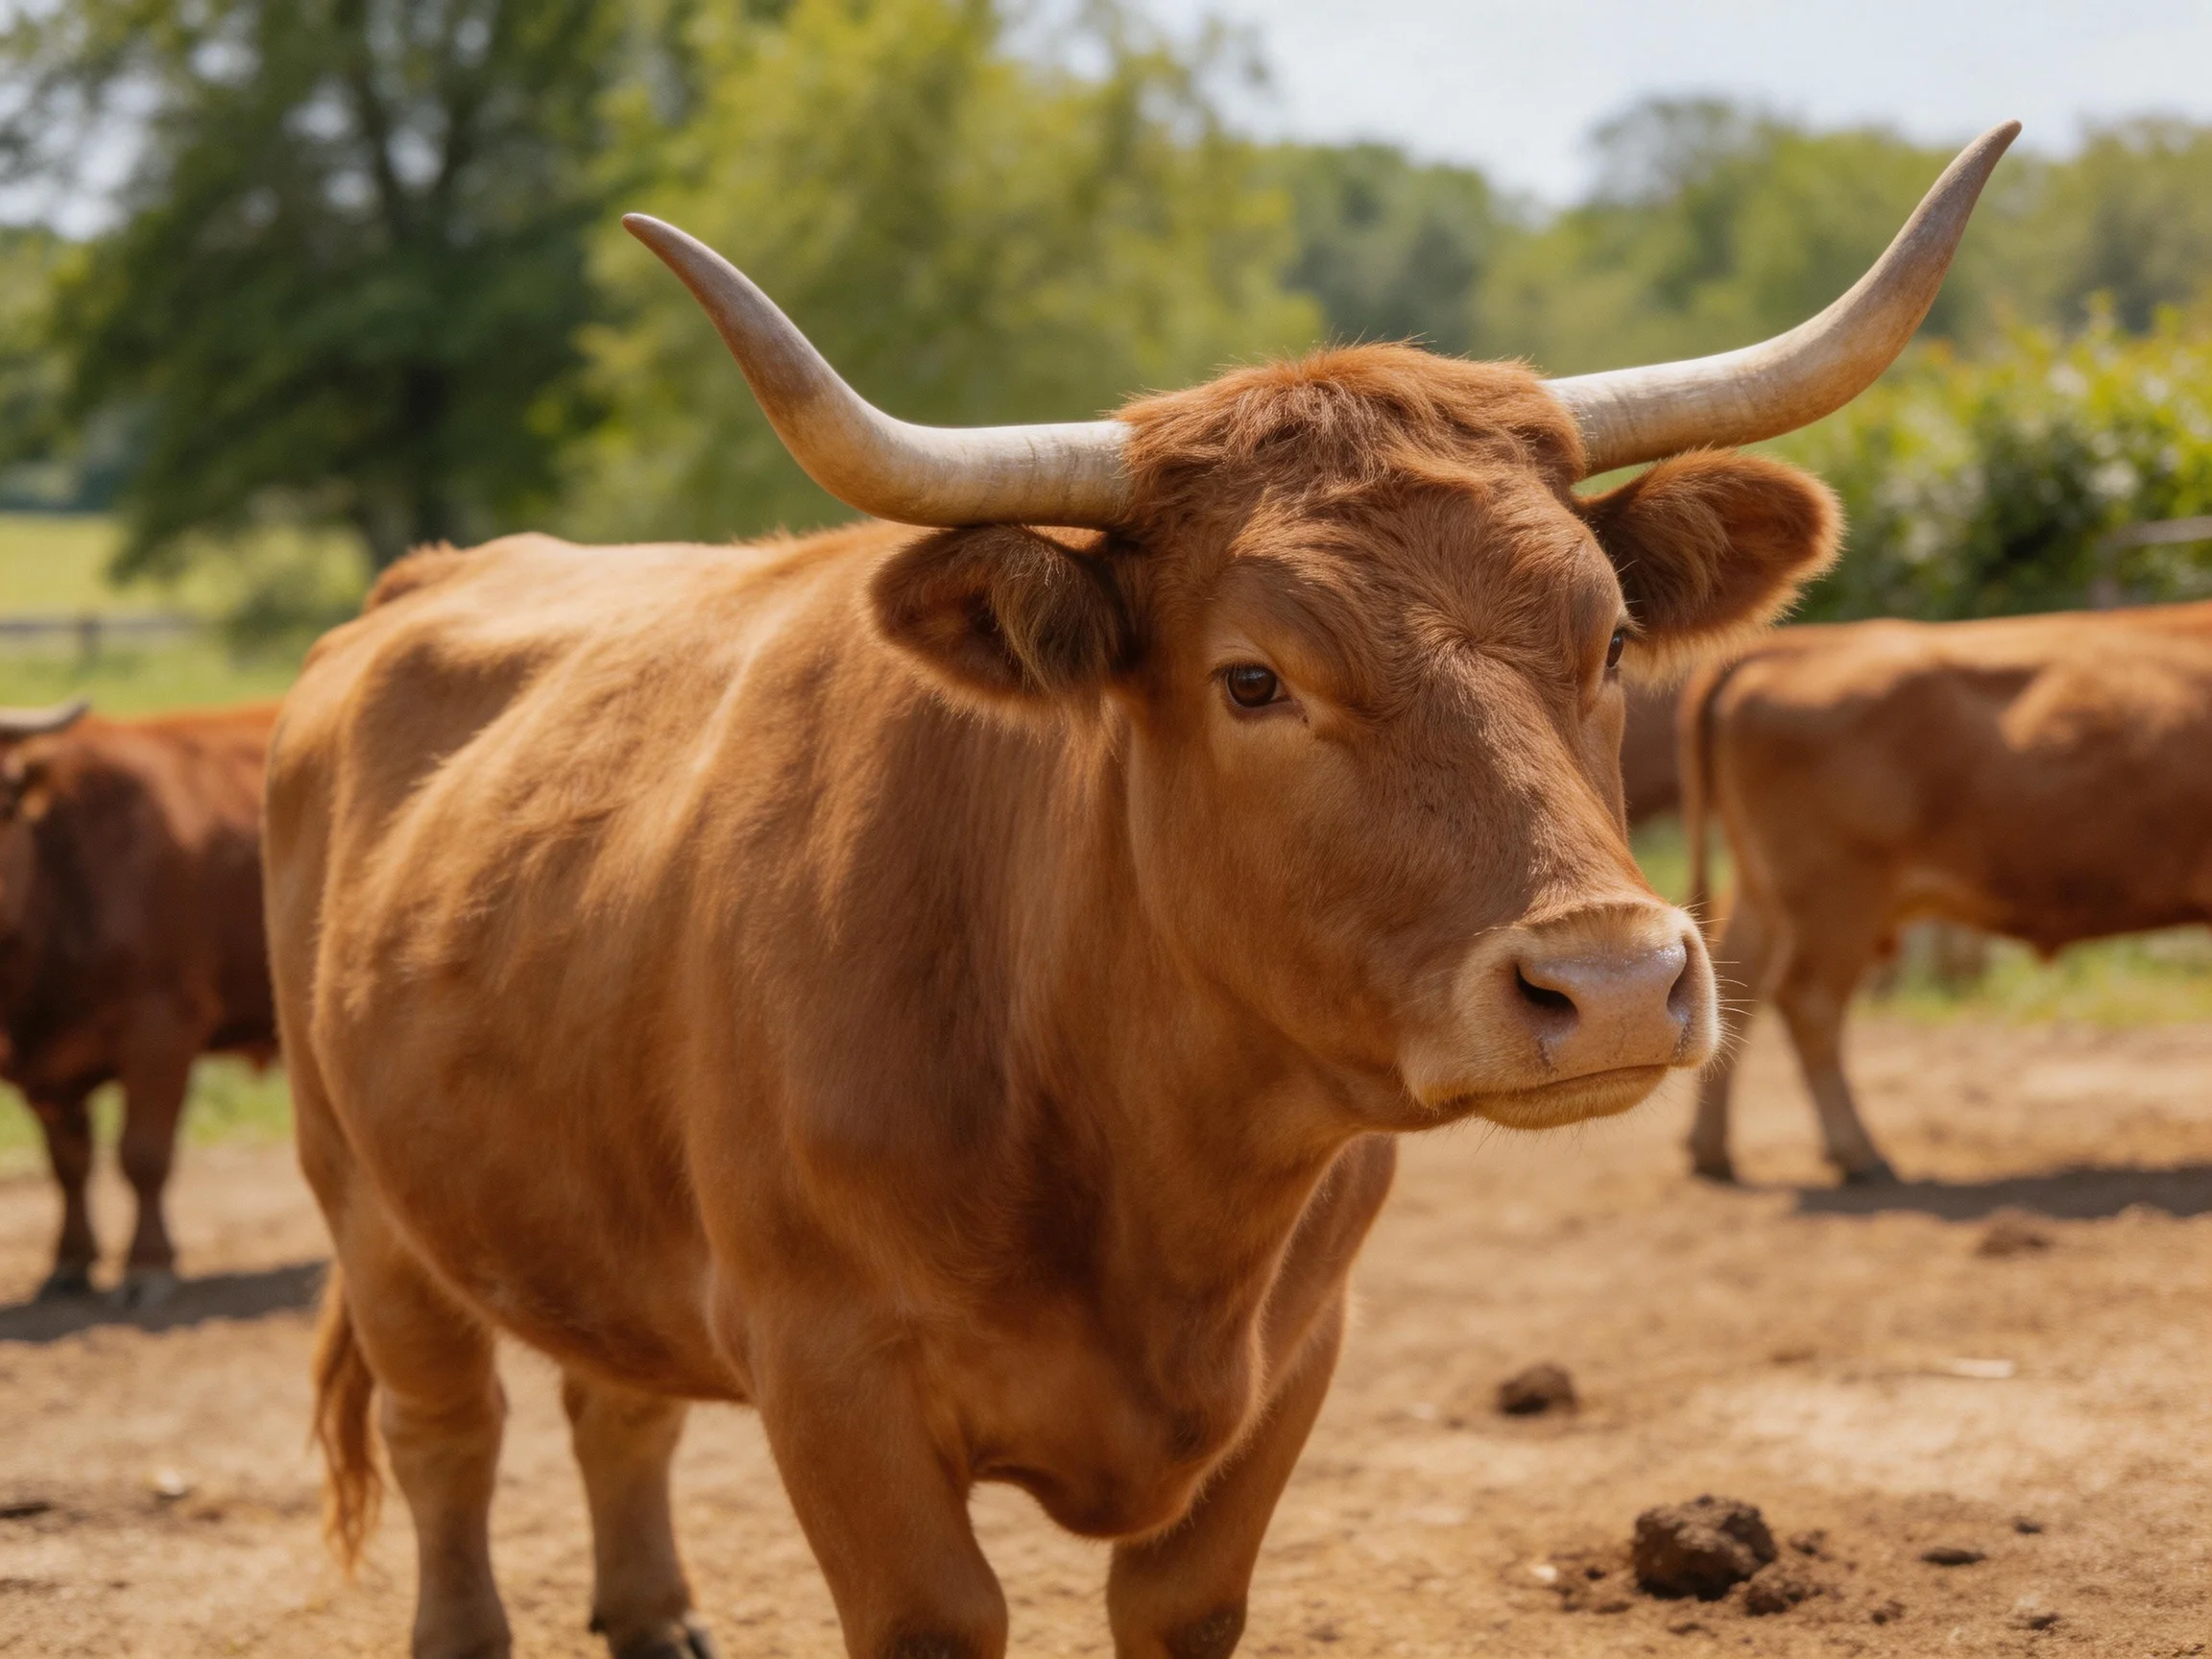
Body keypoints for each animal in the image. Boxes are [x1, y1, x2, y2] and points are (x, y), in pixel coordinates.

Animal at [0, 697, 277, 1304]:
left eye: (2, 804)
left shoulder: (162, 1026)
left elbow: (142, 1154)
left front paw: (148, 1265)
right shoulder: (48, 1067)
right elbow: (68, 1164)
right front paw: (70, 1263)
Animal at [266, 126, 2014, 1659]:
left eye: (1611, 639)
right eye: (1252, 678)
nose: (1609, 984)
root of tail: (414, 591)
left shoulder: (1290, 1364)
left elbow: (1181, 1604)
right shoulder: (831, 1381)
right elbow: (933, 1613)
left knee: (610, 1396)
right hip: (367, 1199)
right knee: (448, 1433)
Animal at [1682, 600, 2212, 1185]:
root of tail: (1787, 646)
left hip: (1766, 894)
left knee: (1737, 980)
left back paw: (1714, 1152)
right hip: (1834, 897)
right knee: (1810, 1002)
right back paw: (1859, 1154)